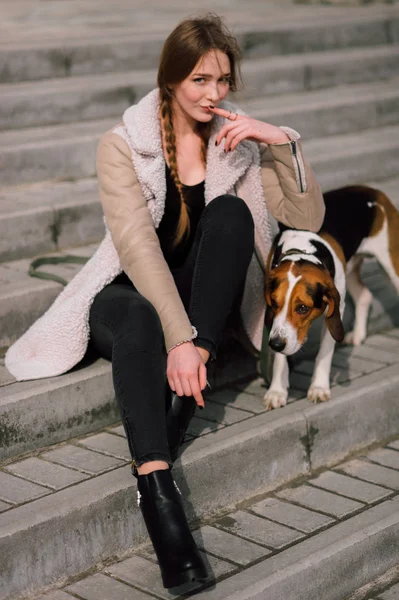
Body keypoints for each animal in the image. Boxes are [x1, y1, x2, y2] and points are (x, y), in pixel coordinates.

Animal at [264, 183, 398, 410]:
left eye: (302, 308)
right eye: (274, 303)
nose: (275, 345)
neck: (303, 250)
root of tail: (370, 190)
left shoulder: (336, 310)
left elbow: (325, 352)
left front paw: (318, 387)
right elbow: (281, 359)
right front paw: (277, 390)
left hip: (391, 265)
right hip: (350, 268)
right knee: (364, 296)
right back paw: (358, 335)